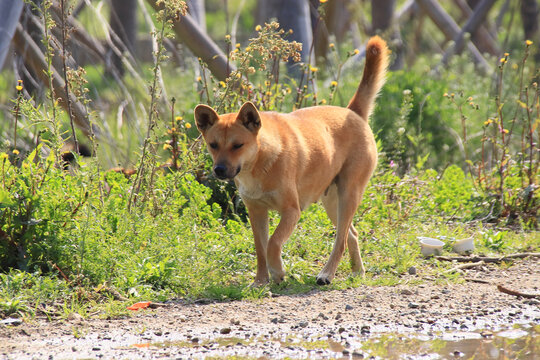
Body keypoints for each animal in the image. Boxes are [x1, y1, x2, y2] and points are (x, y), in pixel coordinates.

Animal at [194, 35, 388, 286]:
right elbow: (260, 248)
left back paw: (327, 273)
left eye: (237, 145)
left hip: (349, 194)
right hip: (332, 202)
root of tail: (352, 112)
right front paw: (260, 281)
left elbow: (273, 243)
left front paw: (278, 271)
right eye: (213, 145)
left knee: (341, 240)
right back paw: (357, 271)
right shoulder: (257, 212)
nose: (218, 170)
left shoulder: (291, 211)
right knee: (351, 235)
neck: (260, 162)